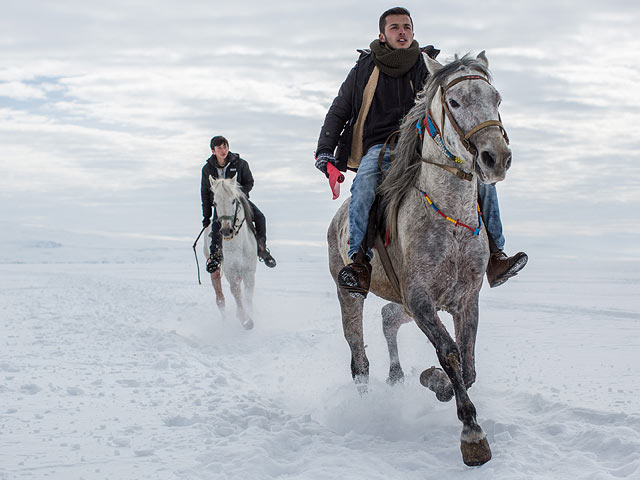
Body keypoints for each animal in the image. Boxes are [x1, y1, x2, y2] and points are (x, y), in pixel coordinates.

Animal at [204, 176, 256, 330]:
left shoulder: (249, 271)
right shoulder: (230, 272)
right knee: (220, 298)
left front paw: (249, 314)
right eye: (215, 202)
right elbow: (235, 292)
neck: (237, 246)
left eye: (233, 200)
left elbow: (248, 294)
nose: (226, 230)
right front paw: (245, 320)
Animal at [328, 51, 512, 464]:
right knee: (358, 359)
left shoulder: (464, 299)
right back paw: (366, 408)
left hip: (404, 303)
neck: (450, 220)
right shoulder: (420, 298)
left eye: (496, 98)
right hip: (349, 293)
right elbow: (449, 353)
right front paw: (472, 435)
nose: (496, 158)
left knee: (387, 318)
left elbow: (467, 362)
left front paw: (436, 383)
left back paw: (397, 375)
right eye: (455, 102)